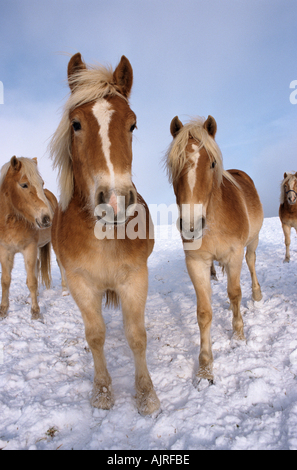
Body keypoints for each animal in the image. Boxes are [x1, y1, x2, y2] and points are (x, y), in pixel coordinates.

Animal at [0, 155, 57, 320]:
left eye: (41, 183)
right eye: (24, 185)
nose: (48, 218)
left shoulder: (29, 249)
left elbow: (31, 281)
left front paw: (35, 311)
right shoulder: (5, 251)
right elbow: (5, 281)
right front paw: (3, 310)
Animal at [48, 52, 160, 414]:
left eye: (132, 124)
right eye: (76, 124)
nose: (114, 201)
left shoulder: (135, 278)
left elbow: (136, 336)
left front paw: (146, 395)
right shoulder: (81, 283)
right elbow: (95, 336)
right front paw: (102, 392)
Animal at [165, 115, 262, 384]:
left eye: (212, 164)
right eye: (174, 165)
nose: (191, 226)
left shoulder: (234, 255)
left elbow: (236, 293)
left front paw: (238, 336)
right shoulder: (197, 263)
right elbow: (204, 313)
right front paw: (205, 367)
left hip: (252, 243)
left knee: (251, 264)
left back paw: (257, 295)